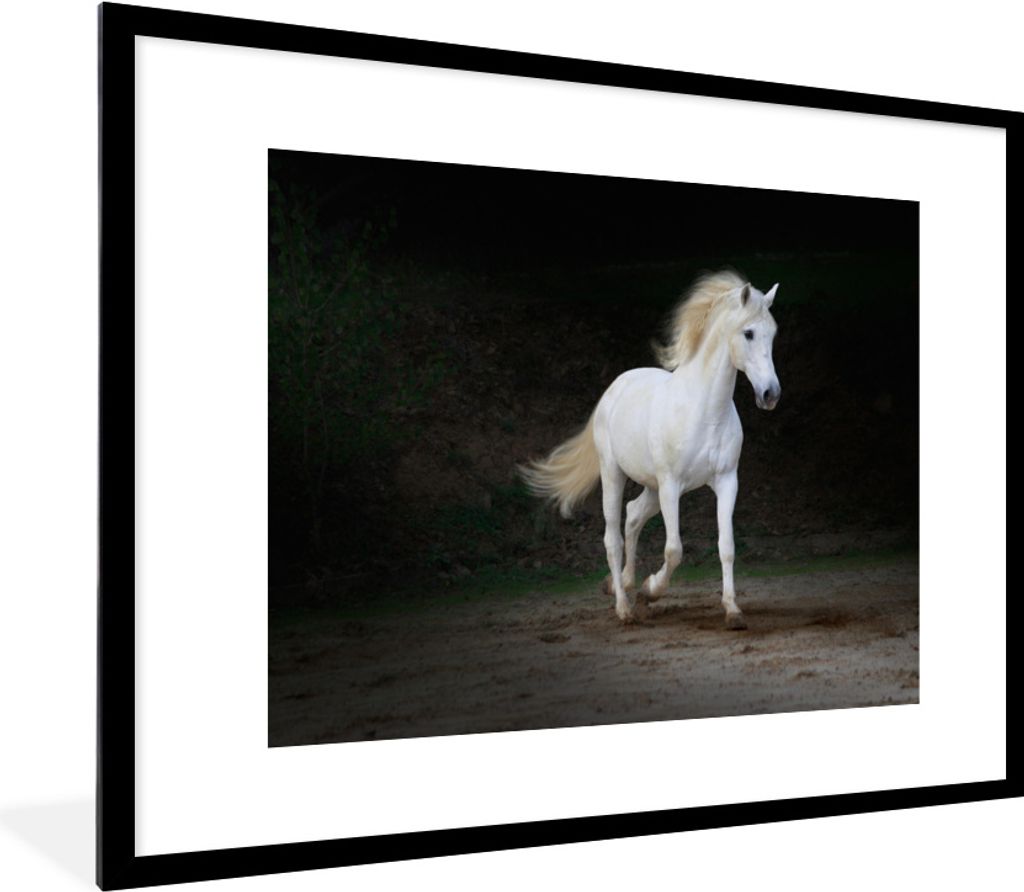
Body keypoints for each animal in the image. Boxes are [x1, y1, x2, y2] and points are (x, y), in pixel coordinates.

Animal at [520, 270, 780, 629]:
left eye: (773, 334)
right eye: (749, 333)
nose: (770, 394)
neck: (704, 410)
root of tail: (615, 387)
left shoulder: (727, 482)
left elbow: (726, 546)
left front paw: (732, 611)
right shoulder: (671, 485)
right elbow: (674, 549)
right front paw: (651, 590)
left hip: (652, 488)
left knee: (632, 516)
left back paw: (625, 583)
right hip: (615, 475)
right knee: (613, 537)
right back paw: (624, 607)